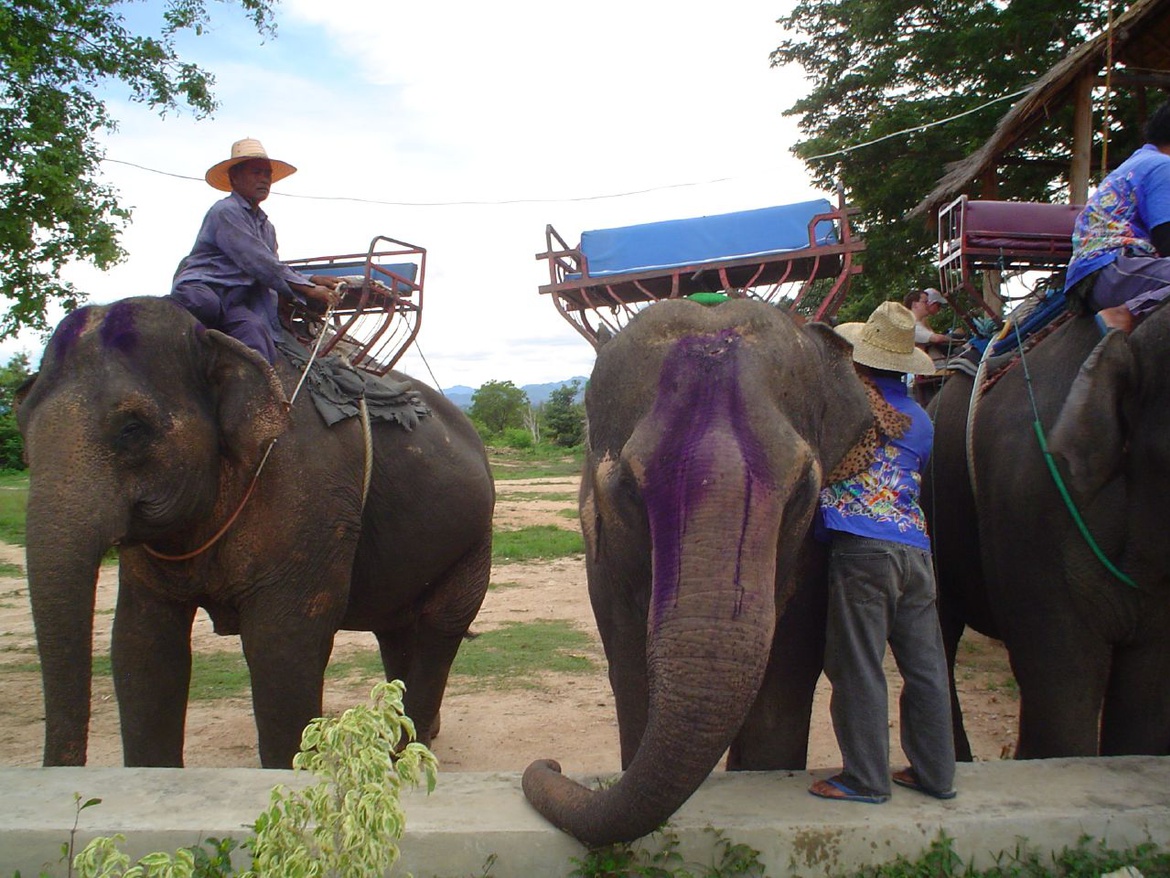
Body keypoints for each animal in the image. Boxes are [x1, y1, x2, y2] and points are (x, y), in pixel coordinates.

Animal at [17, 297, 493, 767]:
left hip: (473, 540)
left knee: (440, 626)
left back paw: (407, 753)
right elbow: (142, 646)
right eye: (23, 428)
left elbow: (282, 647)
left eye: (133, 429)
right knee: (394, 630)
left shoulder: (306, 491)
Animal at [524, 299, 879, 847]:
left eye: (803, 489)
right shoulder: (604, 566)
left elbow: (782, 692)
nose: (552, 762)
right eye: (628, 488)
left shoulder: (813, 559)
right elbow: (631, 673)